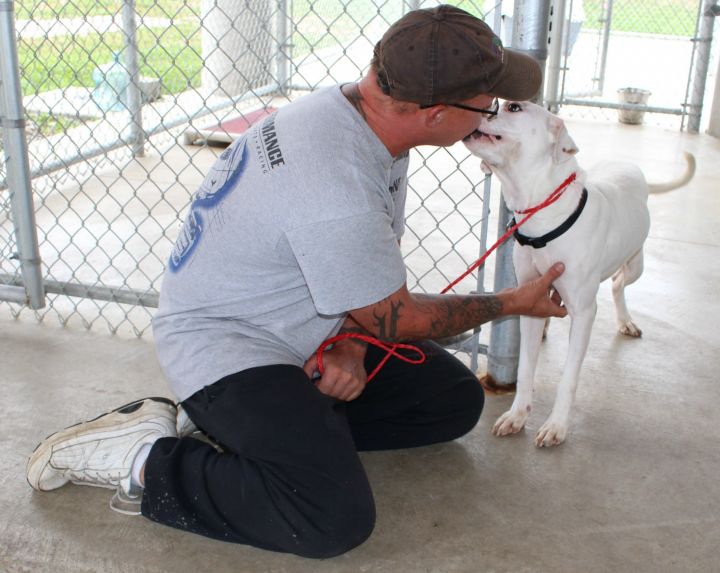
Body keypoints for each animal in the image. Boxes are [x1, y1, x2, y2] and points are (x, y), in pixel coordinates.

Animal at [464, 99, 696, 446]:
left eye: (514, 107)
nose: (483, 105)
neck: (543, 213)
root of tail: (631, 167)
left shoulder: (584, 312)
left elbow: (569, 378)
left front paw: (556, 426)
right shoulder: (530, 300)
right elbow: (526, 368)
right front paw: (517, 415)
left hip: (636, 265)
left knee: (618, 284)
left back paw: (626, 320)